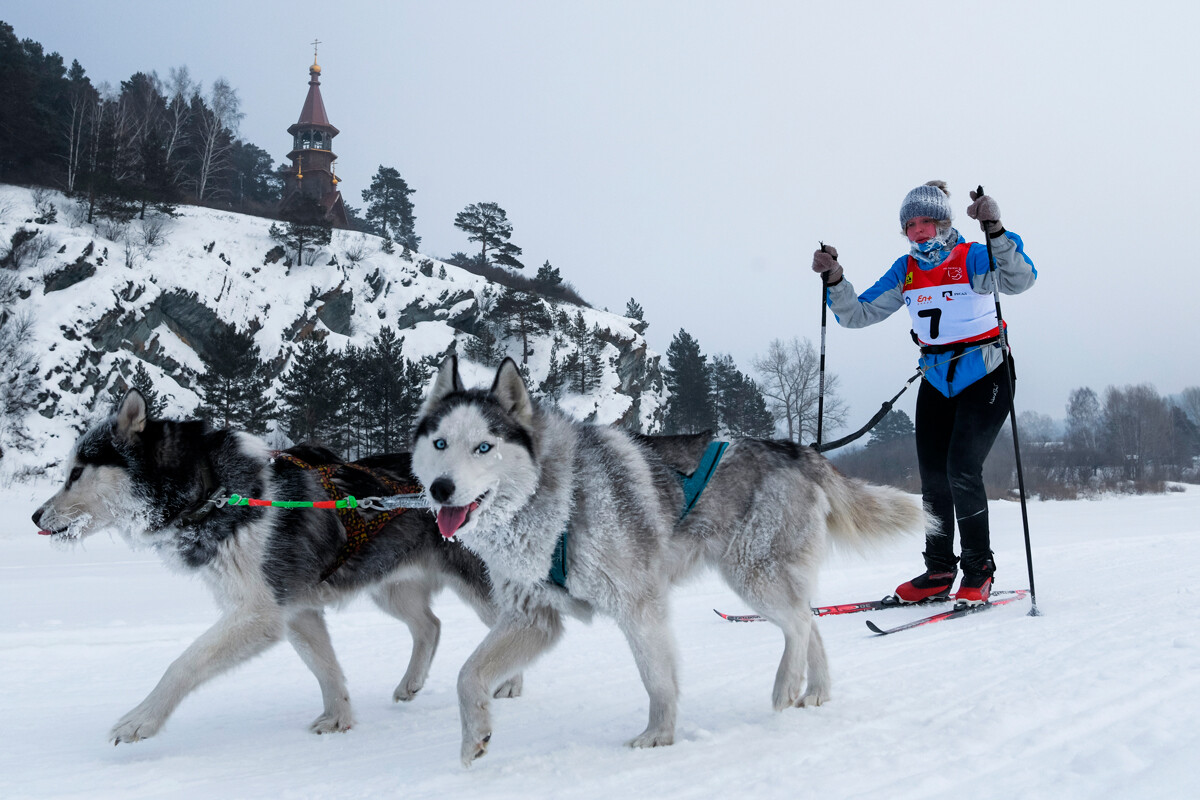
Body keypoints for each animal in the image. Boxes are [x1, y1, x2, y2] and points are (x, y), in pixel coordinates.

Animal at [35, 391, 513, 748]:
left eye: (76, 473)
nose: (36, 516)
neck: (217, 493)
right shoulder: (296, 612)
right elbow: (327, 670)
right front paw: (338, 718)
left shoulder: (259, 614)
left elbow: (183, 664)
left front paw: (142, 718)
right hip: (389, 586)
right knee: (429, 625)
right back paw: (411, 683)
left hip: (481, 588)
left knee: (510, 622)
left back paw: (510, 683)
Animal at [408, 359, 921, 767]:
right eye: (440, 444)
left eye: (484, 447)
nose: (440, 489)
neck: (558, 497)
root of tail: (797, 449)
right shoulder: (532, 618)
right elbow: (467, 675)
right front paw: (473, 739)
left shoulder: (638, 605)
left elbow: (656, 678)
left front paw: (660, 735)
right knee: (810, 622)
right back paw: (814, 690)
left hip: (753, 575)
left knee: (797, 623)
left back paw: (785, 686)